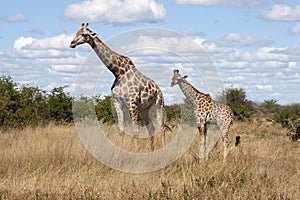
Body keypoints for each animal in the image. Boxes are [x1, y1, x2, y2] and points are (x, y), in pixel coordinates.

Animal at [69, 23, 170, 152]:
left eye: (84, 34)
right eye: (76, 32)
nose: (71, 43)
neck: (118, 72)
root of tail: (159, 89)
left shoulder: (132, 104)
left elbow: (135, 131)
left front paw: (136, 152)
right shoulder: (117, 103)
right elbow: (121, 130)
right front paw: (119, 152)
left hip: (158, 105)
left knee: (161, 128)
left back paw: (163, 150)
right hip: (145, 109)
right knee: (151, 128)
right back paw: (152, 150)